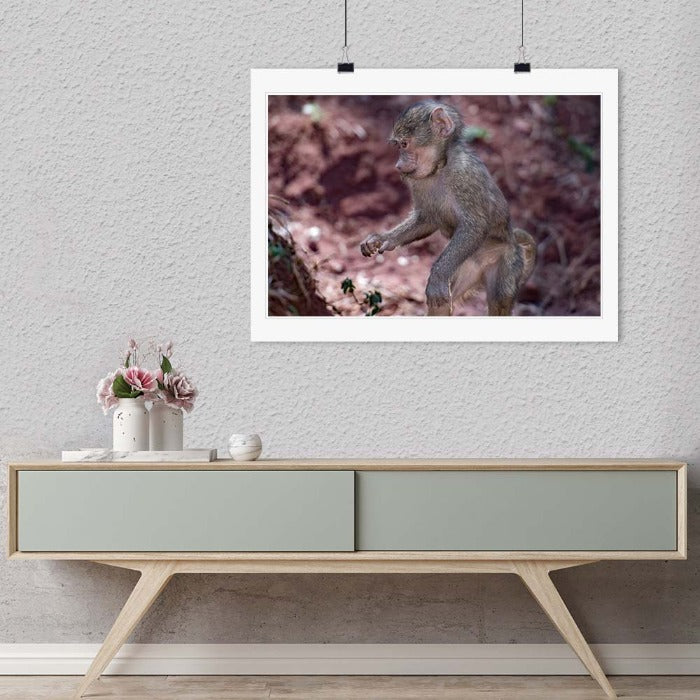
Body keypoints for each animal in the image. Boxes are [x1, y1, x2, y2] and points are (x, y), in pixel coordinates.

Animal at [360, 101, 536, 316]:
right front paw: (383, 239)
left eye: (404, 144)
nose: (398, 165)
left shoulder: (463, 174)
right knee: (443, 303)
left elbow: (474, 226)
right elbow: (426, 219)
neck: (440, 167)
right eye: (398, 146)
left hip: (507, 260)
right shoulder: (417, 182)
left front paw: (436, 277)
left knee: (499, 300)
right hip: (466, 266)